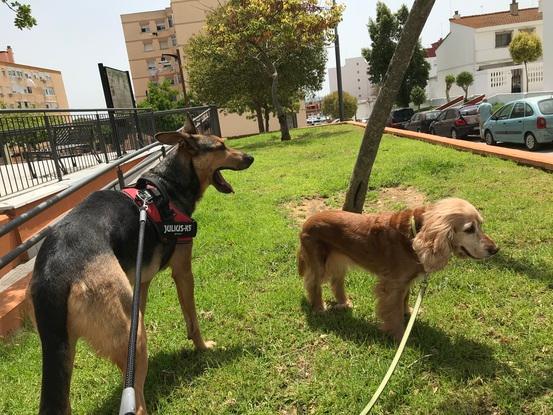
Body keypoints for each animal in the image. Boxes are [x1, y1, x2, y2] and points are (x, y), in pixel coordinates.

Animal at [29, 115, 253, 415]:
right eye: (220, 147)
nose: (250, 157)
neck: (166, 186)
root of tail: (54, 269)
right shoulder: (183, 271)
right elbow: (192, 318)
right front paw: (203, 347)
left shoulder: (141, 283)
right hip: (131, 334)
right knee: (136, 404)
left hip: (67, 349)